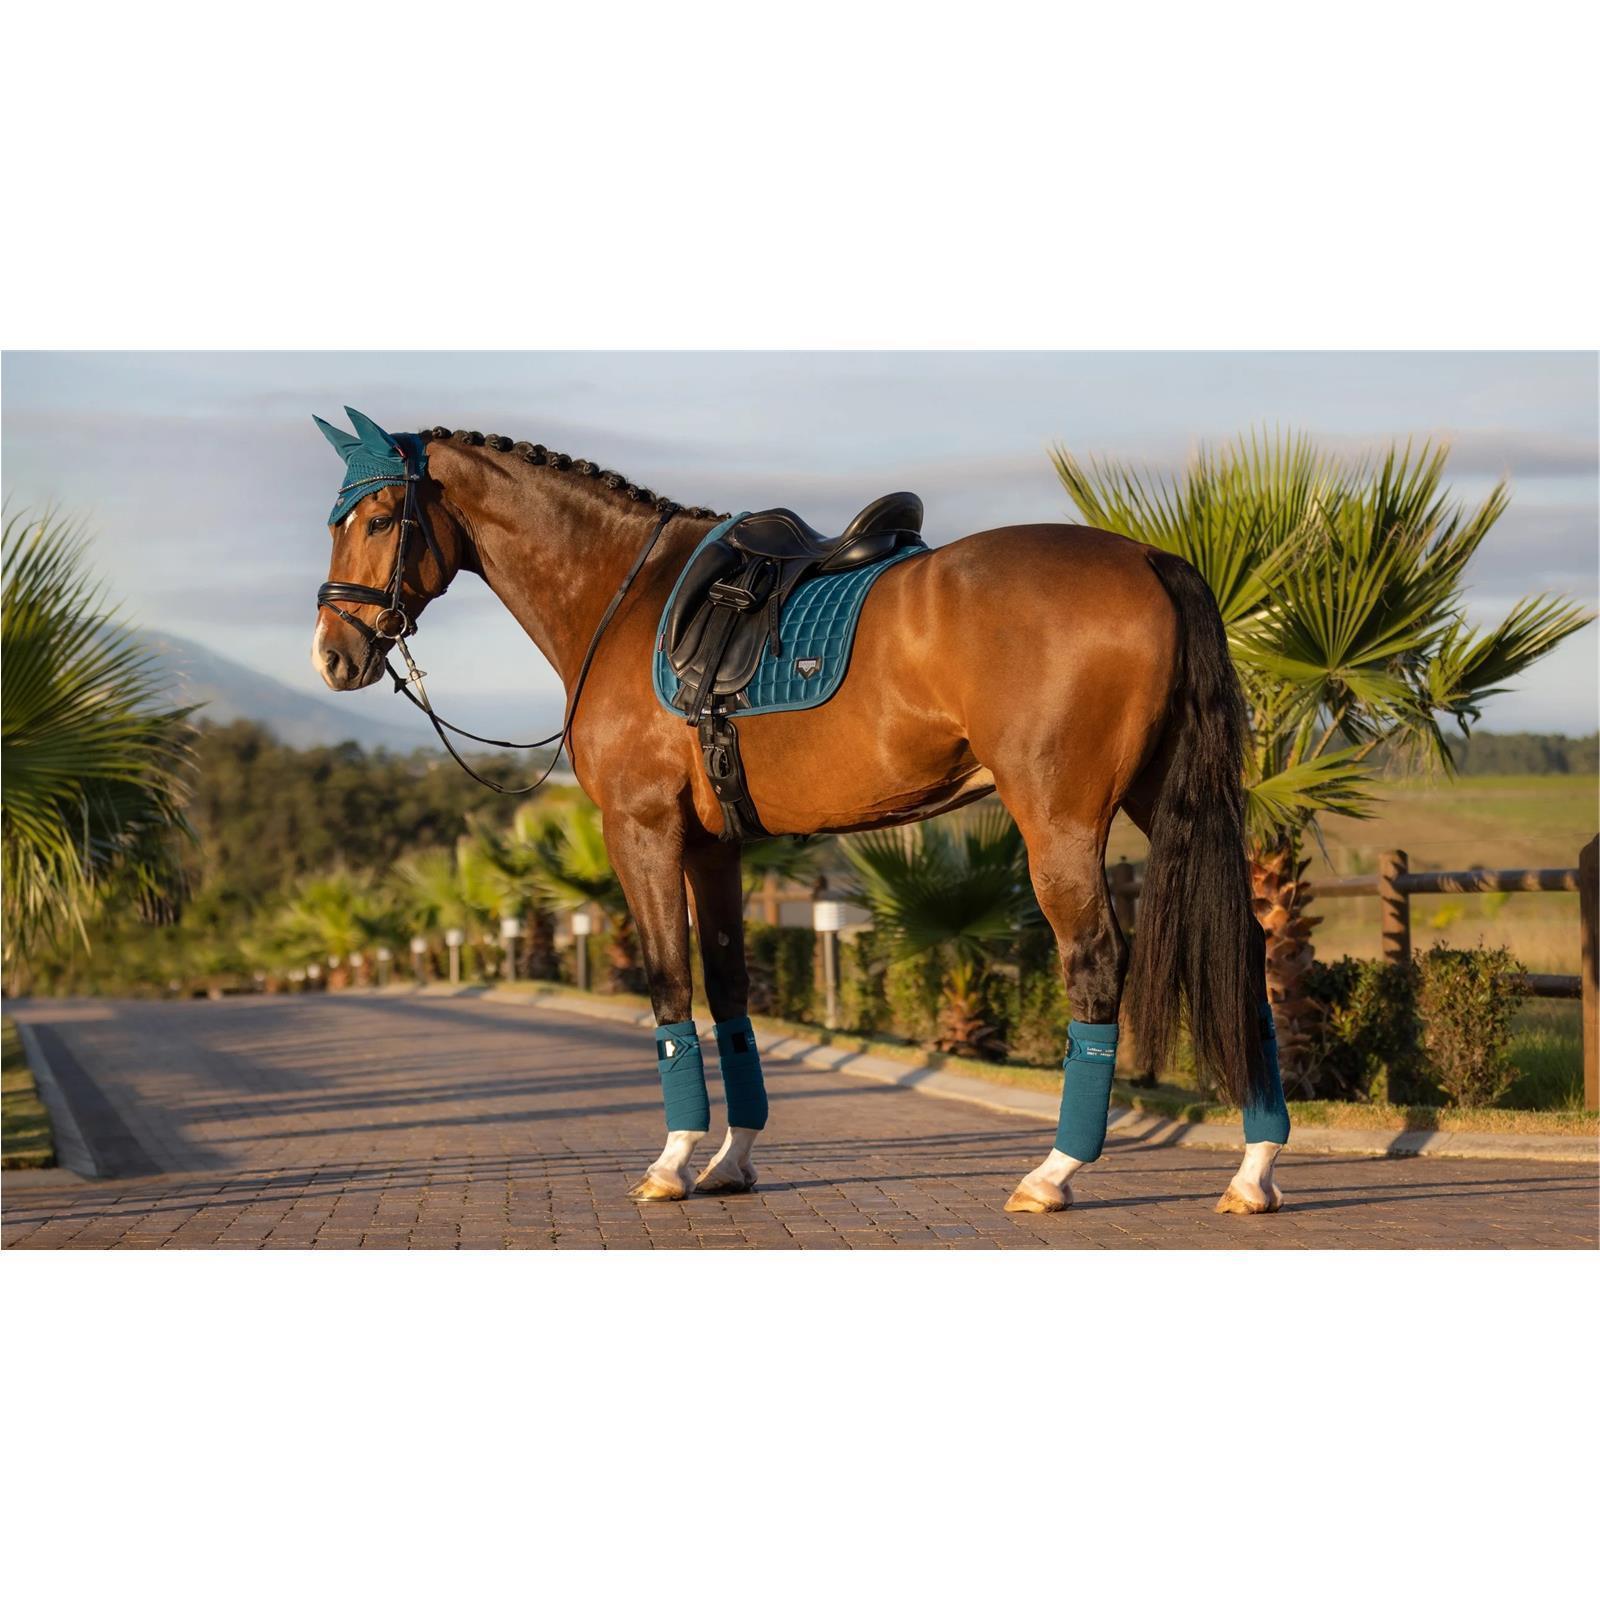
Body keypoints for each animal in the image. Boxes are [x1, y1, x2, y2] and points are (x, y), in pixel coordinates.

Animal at [309, 408, 1291, 1219]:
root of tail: (1150, 559)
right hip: (1163, 799)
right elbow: (730, 990)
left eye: (381, 519)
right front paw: (731, 1160)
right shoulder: (713, 846)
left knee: (1094, 962)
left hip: (1060, 818)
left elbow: (668, 983)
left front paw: (671, 1163)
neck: (625, 595)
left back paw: (1054, 1173)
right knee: (1243, 948)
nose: (332, 657)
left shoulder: (642, 831)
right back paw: (1254, 1167)